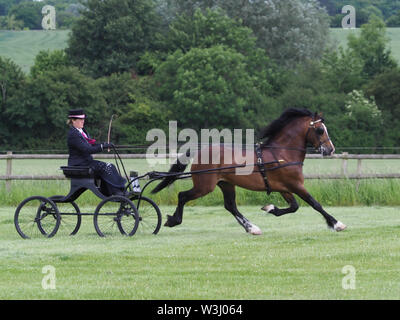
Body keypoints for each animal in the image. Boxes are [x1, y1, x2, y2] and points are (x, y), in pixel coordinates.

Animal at [152, 109, 346, 234]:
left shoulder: (284, 188)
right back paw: (173, 220)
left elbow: (294, 207)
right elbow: (315, 204)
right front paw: (337, 224)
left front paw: (270, 208)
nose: (330, 150)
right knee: (183, 196)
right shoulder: (296, 185)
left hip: (226, 184)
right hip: (204, 186)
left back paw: (251, 228)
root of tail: (201, 150)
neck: (282, 153)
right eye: (320, 130)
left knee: (230, 206)